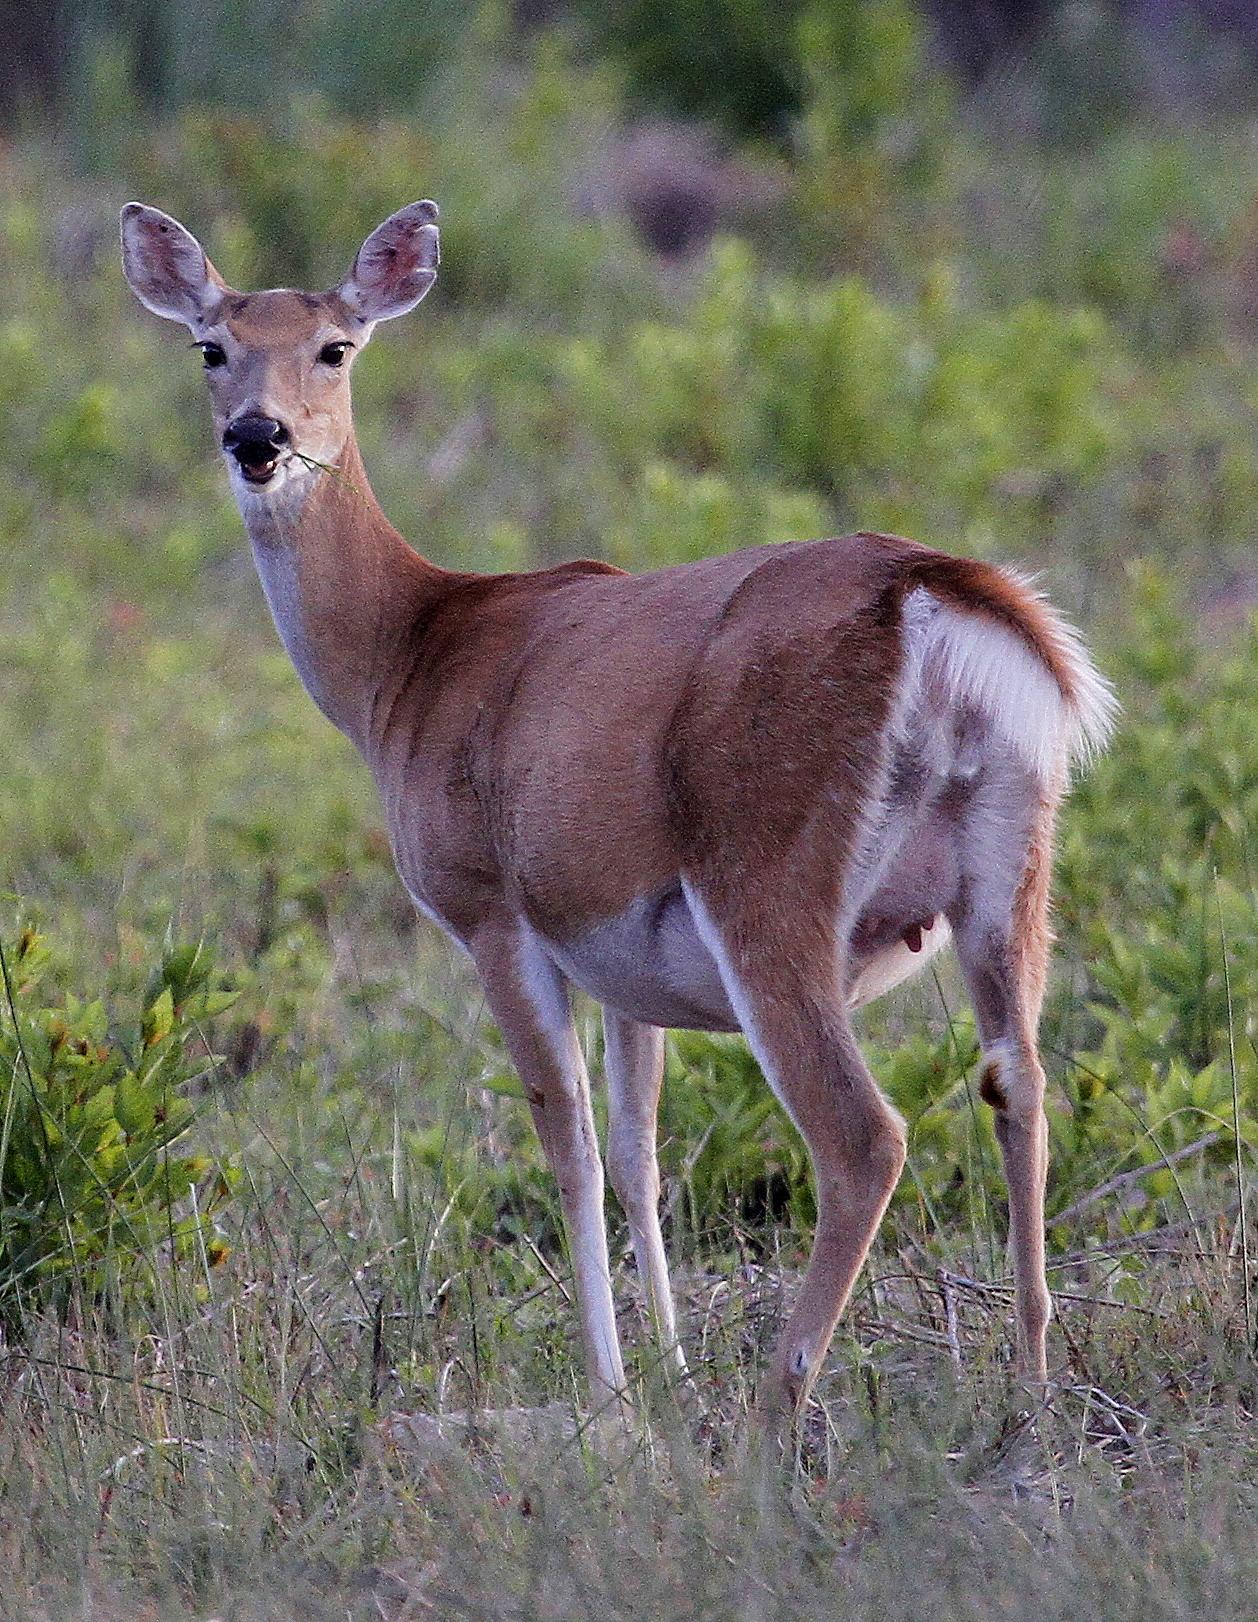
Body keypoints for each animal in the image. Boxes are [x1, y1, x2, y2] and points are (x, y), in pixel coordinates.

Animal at [123, 196, 1115, 1427]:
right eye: (211, 347)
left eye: (335, 347)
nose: (257, 439)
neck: (408, 656)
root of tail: (938, 599)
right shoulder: (621, 958)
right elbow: (641, 1152)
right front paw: (669, 1371)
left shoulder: (491, 909)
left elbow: (571, 1145)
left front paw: (609, 1393)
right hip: (1010, 874)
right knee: (1020, 1083)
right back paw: (1027, 1390)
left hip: (769, 872)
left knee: (863, 1137)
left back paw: (773, 1412)